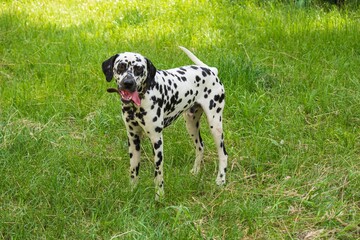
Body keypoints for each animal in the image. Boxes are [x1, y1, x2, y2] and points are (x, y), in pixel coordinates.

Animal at [102, 46, 228, 200]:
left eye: (139, 69)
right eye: (121, 66)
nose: (128, 83)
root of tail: (211, 70)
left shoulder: (157, 140)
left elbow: (158, 172)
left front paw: (159, 195)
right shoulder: (133, 139)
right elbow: (133, 169)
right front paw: (132, 190)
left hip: (215, 125)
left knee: (223, 154)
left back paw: (221, 179)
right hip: (191, 124)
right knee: (200, 146)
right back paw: (196, 171)